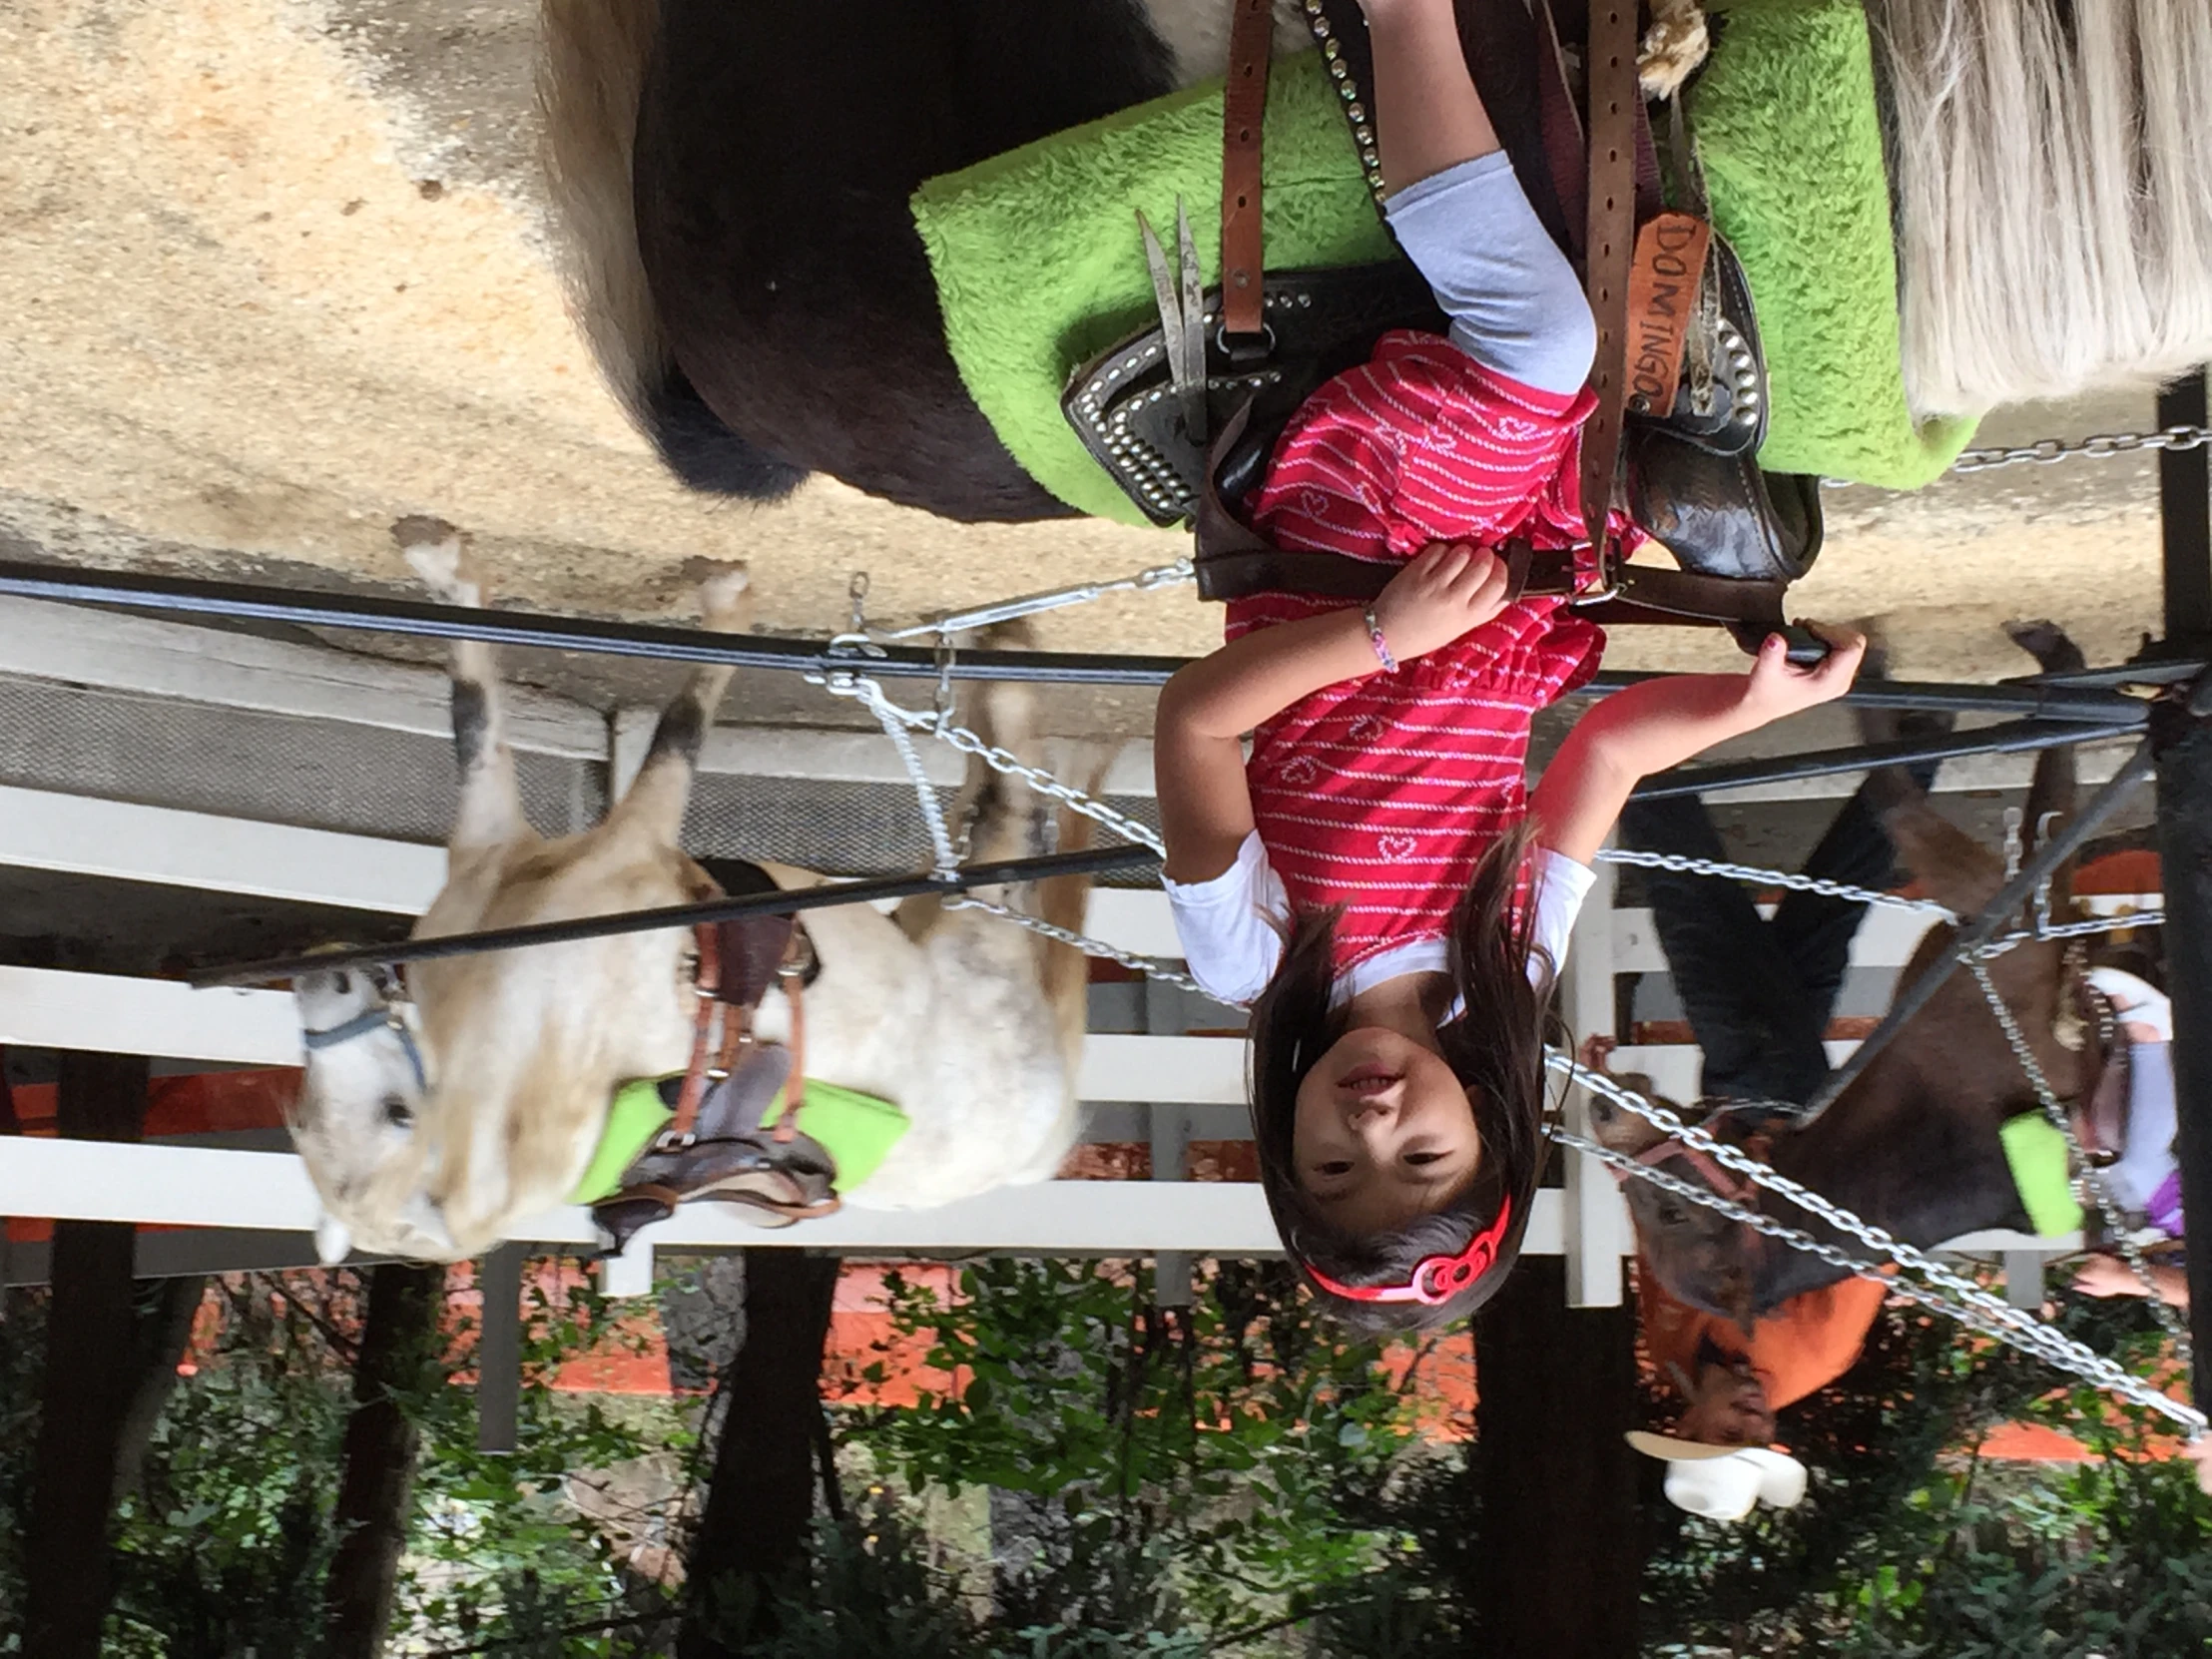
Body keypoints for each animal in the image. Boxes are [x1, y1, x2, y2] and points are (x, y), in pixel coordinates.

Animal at [289, 519, 1101, 1256]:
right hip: (977, 927)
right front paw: (729, 598)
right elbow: (675, 729)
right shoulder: (627, 849)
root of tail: (1041, 1148)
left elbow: (475, 710)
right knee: (1012, 803)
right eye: (397, 1114)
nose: (319, 975)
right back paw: (1003, 660)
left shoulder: (499, 842)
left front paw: (442, 565)